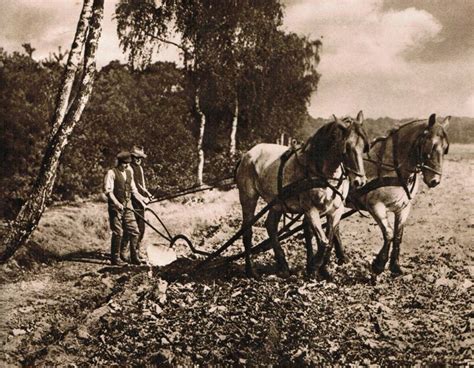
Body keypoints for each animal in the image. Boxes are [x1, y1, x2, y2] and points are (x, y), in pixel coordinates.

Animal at [237, 112, 370, 278]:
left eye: (364, 147)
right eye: (346, 148)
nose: (360, 181)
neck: (324, 174)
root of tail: (247, 154)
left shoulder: (336, 210)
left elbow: (329, 240)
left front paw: (323, 269)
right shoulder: (310, 209)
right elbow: (323, 241)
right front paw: (313, 267)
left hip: (277, 202)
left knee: (271, 226)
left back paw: (283, 266)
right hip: (248, 197)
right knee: (247, 232)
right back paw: (251, 270)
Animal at [336, 113, 450, 274]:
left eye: (445, 149)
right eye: (430, 146)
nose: (435, 180)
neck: (393, 169)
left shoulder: (403, 208)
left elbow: (398, 235)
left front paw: (395, 265)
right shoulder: (375, 206)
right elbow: (388, 233)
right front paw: (378, 264)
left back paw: (341, 257)